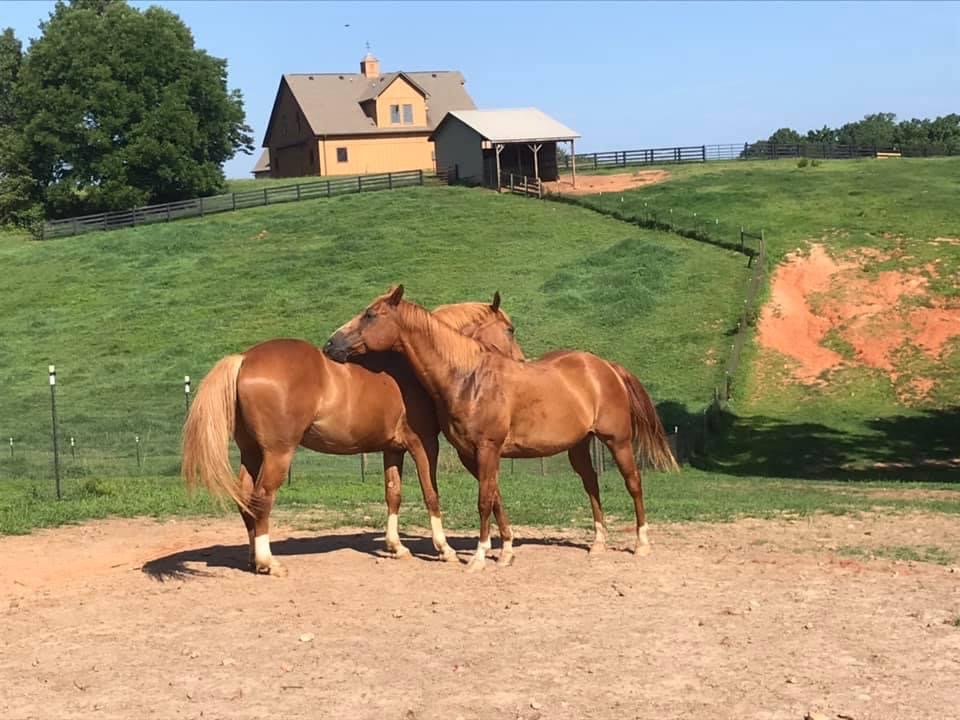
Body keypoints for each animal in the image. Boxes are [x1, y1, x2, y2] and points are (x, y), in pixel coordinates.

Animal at [181, 294, 523, 576]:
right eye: (510, 329)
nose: (520, 361)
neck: (415, 367)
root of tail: (244, 359)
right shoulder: (424, 444)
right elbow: (431, 493)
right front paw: (445, 549)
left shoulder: (393, 448)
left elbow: (393, 493)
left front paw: (396, 547)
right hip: (277, 453)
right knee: (262, 498)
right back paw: (269, 562)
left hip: (251, 451)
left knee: (245, 498)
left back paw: (254, 559)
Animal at [323, 285, 679, 572]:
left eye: (370, 315)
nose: (330, 344)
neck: (468, 378)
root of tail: (606, 366)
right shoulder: (471, 454)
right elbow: (494, 497)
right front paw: (506, 552)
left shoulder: (486, 449)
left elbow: (483, 501)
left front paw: (479, 558)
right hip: (579, 446)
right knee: (591, 484)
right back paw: (598, 543)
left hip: (618, 441)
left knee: (634, 484)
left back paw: (642, 544)